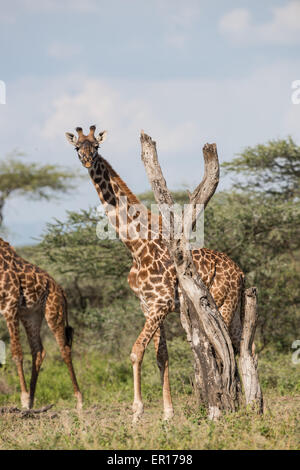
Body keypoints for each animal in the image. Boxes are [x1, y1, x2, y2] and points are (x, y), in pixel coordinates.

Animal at [0, 237, 82, 410]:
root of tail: (61, 290)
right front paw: (26, 399)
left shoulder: (10, 307)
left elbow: (16, 353)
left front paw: (23, 398)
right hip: (31, 315)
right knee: (38, 351)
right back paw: (31, 401)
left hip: (54, 312)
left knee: (64, 349)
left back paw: (79, 401)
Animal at [65, 125, 244, 422]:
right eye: (78, 147)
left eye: (97, 147)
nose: (87, 160)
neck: (136, 247)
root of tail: (241, 273)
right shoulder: (148, 305)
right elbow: (161, 356)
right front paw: (168, 414)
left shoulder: (160, 303)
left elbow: (136, 352)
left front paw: (136, 412)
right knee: (237, 347)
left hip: (222, 304)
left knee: (224, 350)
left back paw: (225, 406)